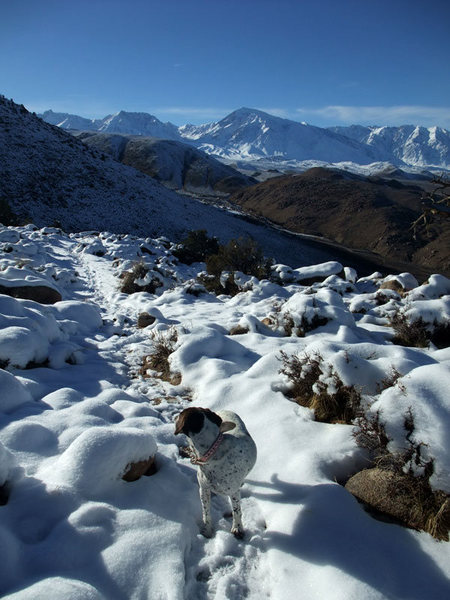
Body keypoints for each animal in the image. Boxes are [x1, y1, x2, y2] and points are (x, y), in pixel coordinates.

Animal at [175, 408, 256, 540]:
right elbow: (206, 514)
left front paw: (237, 528)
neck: (213, 453)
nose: (175, 416)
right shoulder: (204, 489)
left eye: (181, 414)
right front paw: (207, 531)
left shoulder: (233, 492)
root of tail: (225, 409)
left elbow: (237, 511)